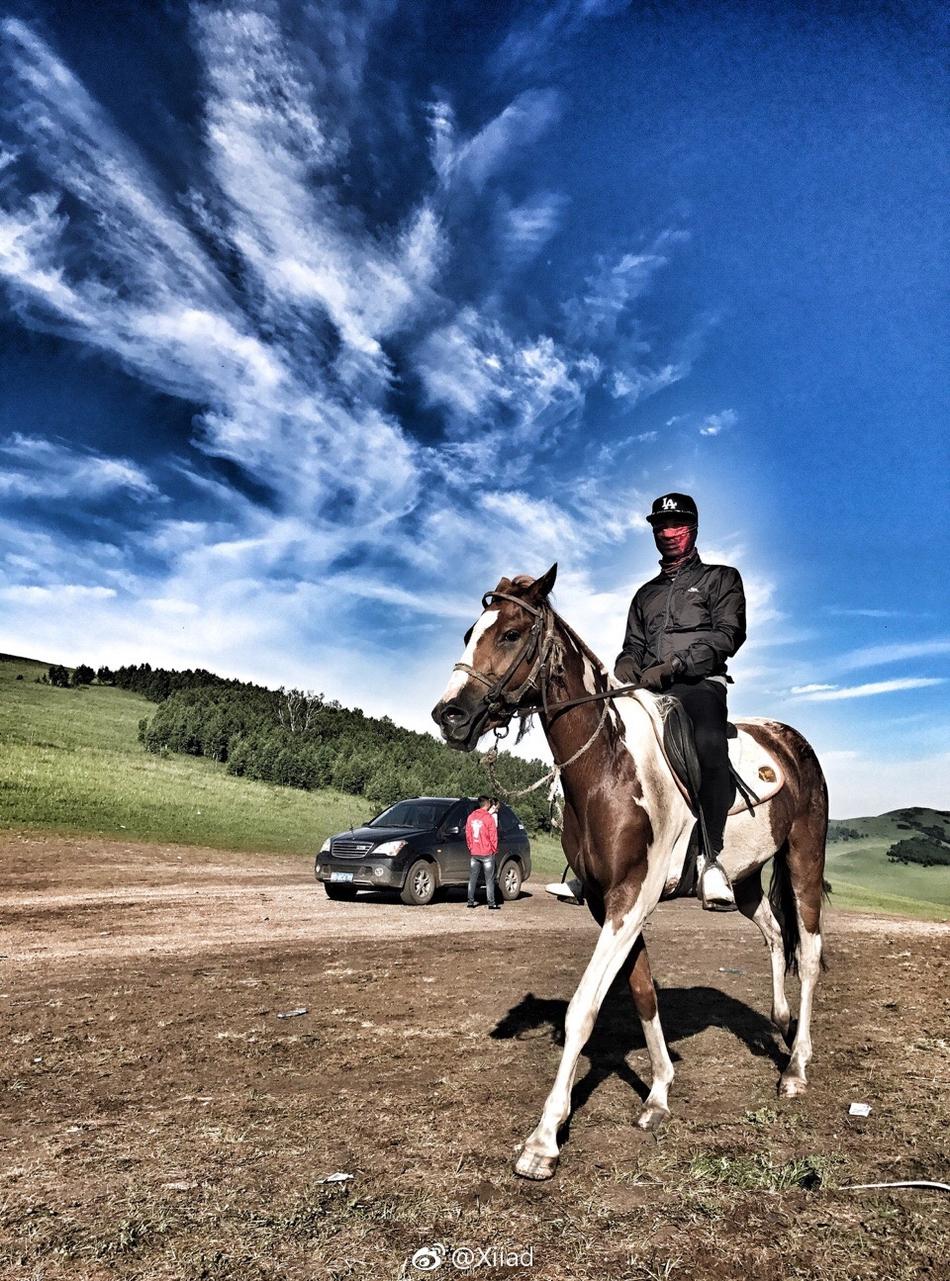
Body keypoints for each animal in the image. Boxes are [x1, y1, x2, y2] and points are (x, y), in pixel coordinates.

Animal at [435, 561, 829, 1178]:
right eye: (470, 631)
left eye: (511, 634)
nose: (449, 714)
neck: (608, 767)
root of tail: (792, 742)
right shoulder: (608, 903)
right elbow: (643, 992)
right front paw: (660, 1092)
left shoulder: (631, 900)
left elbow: (583, 1009)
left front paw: (544, 1140)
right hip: (745, 882)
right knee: (772, 933)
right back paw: (779, 1019)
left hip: (803, 858)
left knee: (807, 953)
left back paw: (795, 1069)